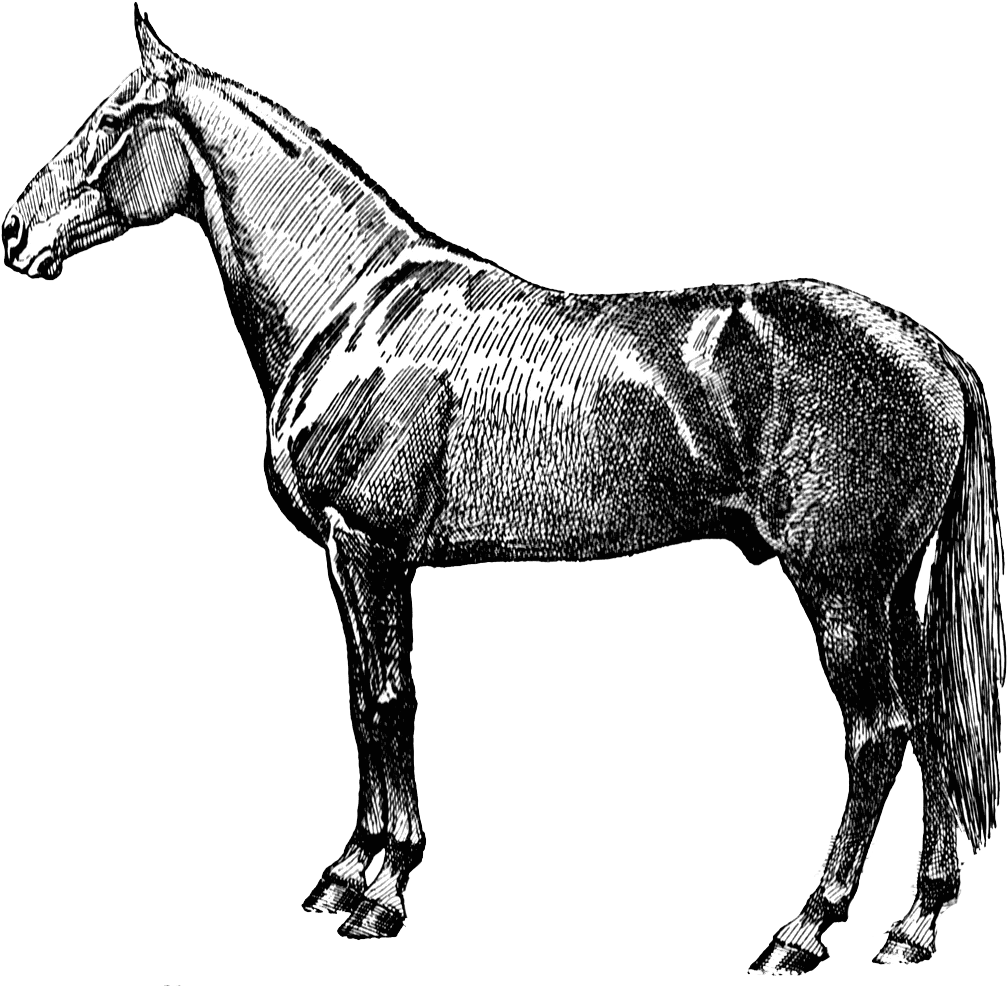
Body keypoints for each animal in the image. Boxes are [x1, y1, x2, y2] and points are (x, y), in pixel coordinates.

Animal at [4, 11, 1002, 967]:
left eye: (111, 120)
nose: (15, 231)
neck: (354, 307)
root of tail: (936, 357)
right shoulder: (346, 559)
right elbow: (363, 700)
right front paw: (344, 877)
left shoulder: (368, 547)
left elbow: (390, 703)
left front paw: (382, 894)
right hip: (900, 595)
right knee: (936, 732)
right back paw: (912, 925)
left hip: (842, 591)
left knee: (879, 736)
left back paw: (805, 931)